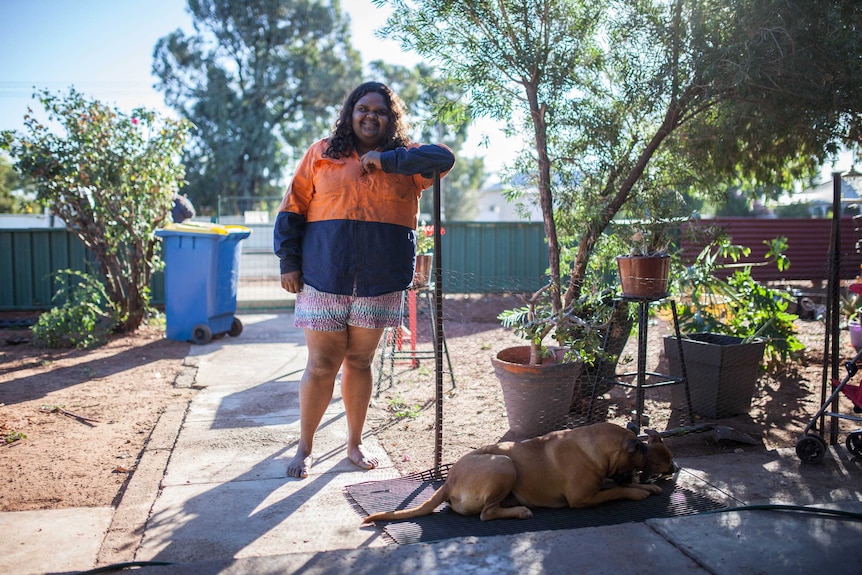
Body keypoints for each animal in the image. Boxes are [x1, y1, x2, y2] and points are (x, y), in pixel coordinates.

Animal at [362, 420, 680, 524]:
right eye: (635, 464)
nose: (671, 468)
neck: (596, 446)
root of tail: (448, 481)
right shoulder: (583, 498)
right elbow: (617, 490)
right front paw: (636, 491)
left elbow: (617, 485)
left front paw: (646, 487)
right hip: (504, 464)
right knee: (486, 513)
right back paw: (519, 512)